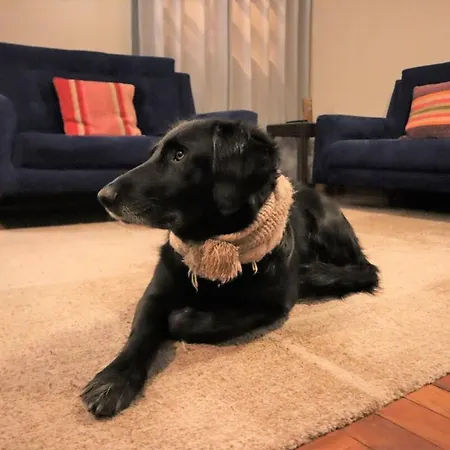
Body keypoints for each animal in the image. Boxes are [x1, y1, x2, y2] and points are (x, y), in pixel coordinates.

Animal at [81, 118, 379, 418]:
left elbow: (192, 321)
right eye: (152, 154)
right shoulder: (155, 293)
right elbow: (140, 333)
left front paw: (183, 316)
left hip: (327, 224)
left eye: (180, 155)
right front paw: (114, 379)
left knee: (367, 270)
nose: (102, 196)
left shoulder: (273, 304)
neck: (213, 246)